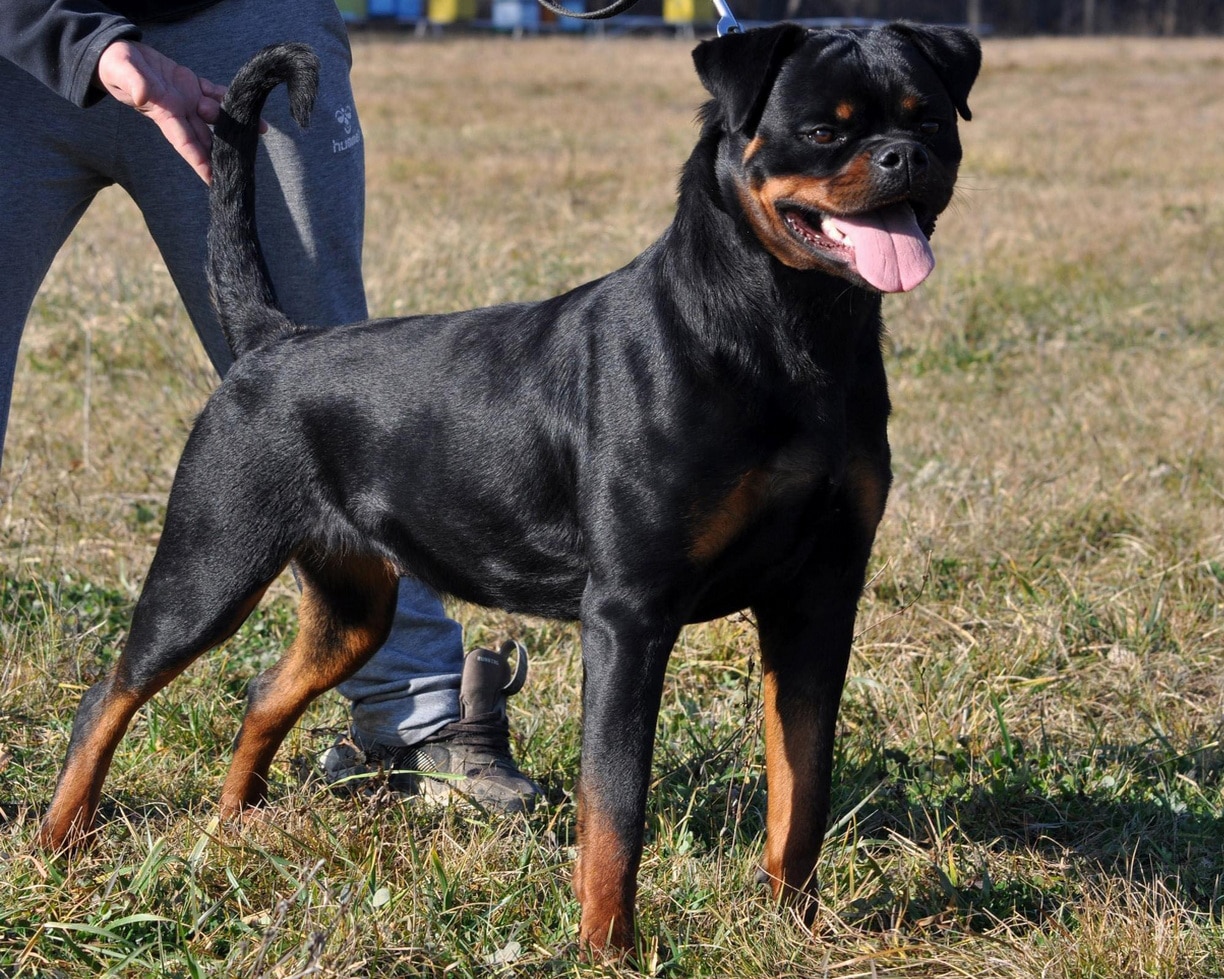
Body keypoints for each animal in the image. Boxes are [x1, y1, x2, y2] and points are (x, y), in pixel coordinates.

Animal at [43, 26, 979, 954]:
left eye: (929, 119)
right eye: (823, 131)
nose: (902, 155)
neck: (789, 331)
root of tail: (274, 339)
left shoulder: (817, 596)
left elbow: (803, 780)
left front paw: (795, 925)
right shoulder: (630, 615)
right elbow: (616, 805)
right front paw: (608, 948)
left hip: (354, 606)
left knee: (264, 692)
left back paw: (235, 823)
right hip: (209, 566)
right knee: (108, 695)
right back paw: (61, 844)